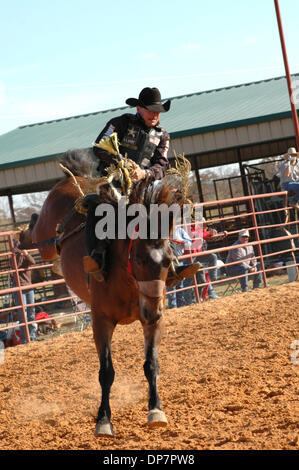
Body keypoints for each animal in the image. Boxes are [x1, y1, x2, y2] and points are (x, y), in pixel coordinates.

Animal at [25, 149, 186, 436]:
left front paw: (156, 410)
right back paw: (25, 232)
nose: (152, 310)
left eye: (168, 260)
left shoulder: (154, 321)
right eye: (139, 259)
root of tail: (75, 178)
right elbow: (106, 372)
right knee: (37, 233)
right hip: (44, 238)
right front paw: (103, 421)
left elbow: (151, 364)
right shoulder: (100, 321)